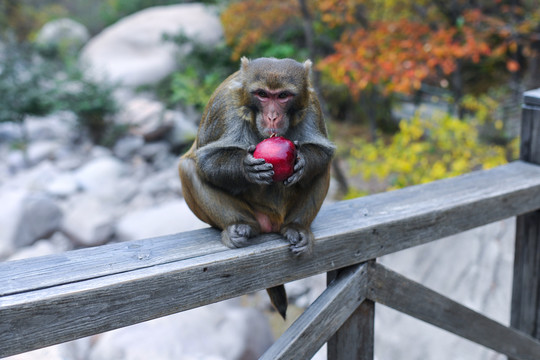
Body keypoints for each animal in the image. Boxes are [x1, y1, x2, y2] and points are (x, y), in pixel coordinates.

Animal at [179, 56, 336, 318]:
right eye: (262, 94)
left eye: (283, 96)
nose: (272, 117)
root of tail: (270, 223)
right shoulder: (225, 106)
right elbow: (206, 160)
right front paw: (246, 168)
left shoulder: (311, 103)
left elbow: (323, 153)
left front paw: (302, 162)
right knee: (188, 168)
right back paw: (240, 227)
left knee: (323, 170)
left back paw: (296, 228)